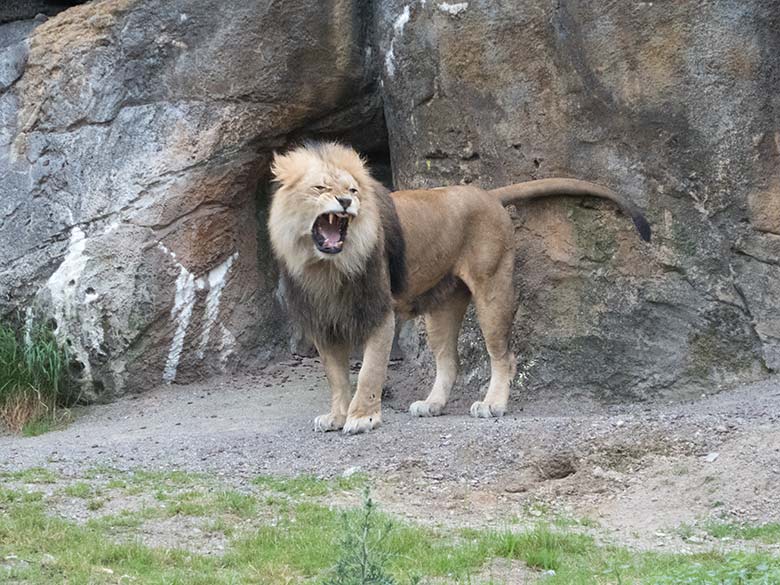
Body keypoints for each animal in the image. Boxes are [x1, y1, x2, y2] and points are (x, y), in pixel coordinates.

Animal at [270, 141, 652, 434]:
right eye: (320, 188)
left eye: (352, 190)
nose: (347, 203)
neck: (326, 267)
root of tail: (484, 192)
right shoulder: (322, 322)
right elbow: (336, 378)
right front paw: (336, 416)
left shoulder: (380, 313)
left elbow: (368, 372)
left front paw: (363, 418)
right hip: (442, 307)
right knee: (449, 360)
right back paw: (432, 404)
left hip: (492, 288)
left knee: (504, 356)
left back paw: (492, 405)